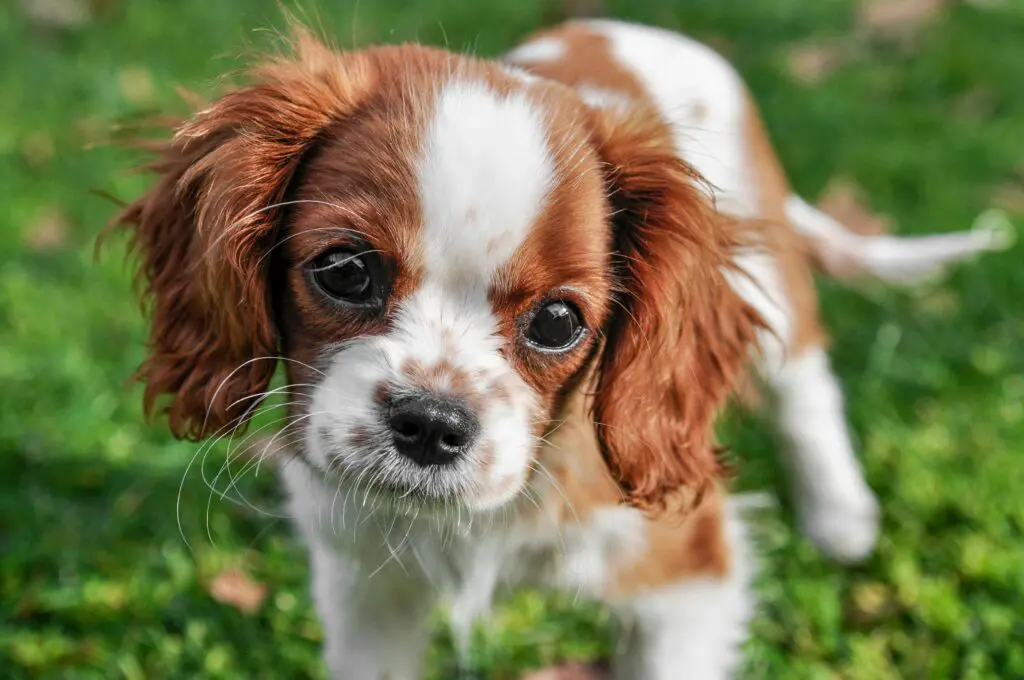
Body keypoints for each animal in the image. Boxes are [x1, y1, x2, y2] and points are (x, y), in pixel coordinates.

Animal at [116, 18, 1003, 675]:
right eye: (345, 270)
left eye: (557, 322)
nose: (433, 424)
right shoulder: (366, 593)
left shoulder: (688, 578)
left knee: (805, 385)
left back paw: (841, 515)